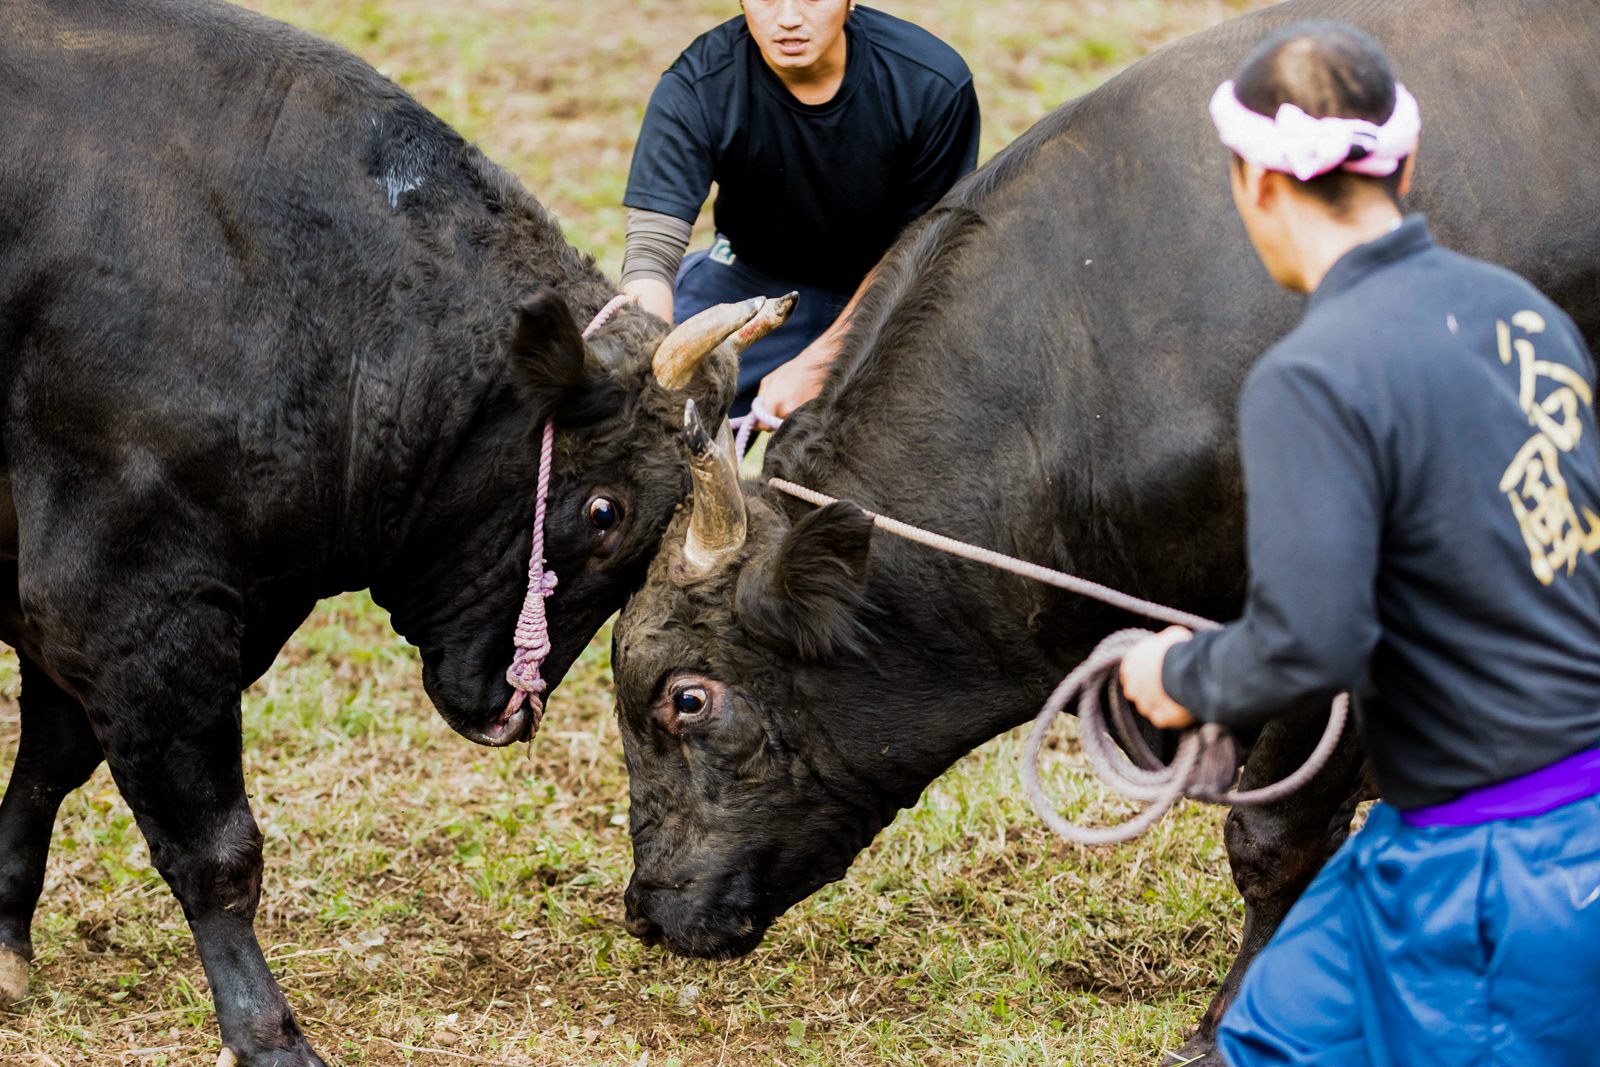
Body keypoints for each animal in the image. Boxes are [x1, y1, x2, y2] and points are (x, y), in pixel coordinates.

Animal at [0, 2, 793, 1067]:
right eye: (602, 511)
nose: (512, 704)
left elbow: (48, 764)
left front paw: (5, 937)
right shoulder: (126, 602)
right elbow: (214, 843)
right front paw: (270, 1035)